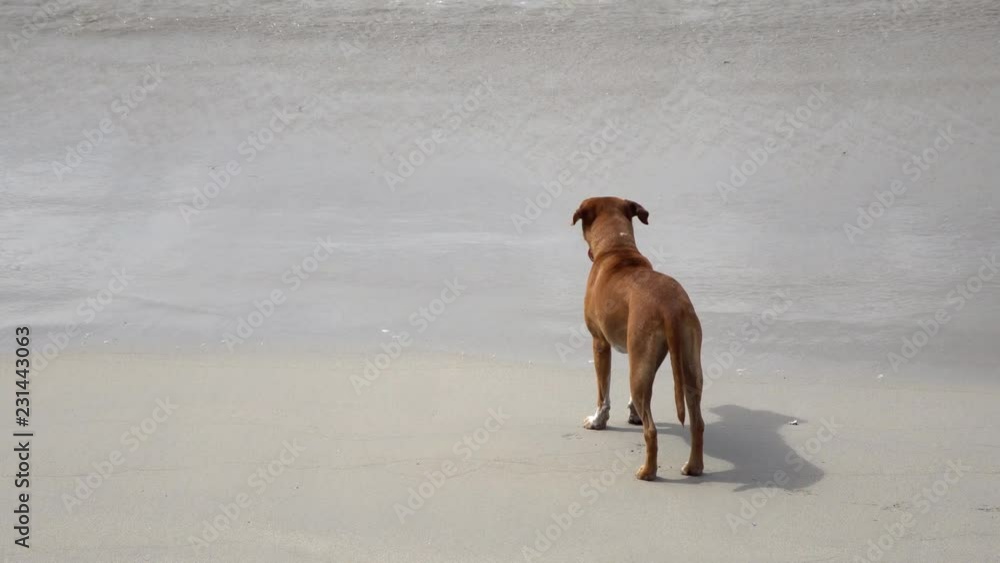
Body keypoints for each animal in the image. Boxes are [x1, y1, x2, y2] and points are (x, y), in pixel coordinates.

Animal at [572, 196, 705, 481]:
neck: (616, 248)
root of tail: (670, 305)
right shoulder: (648, 356)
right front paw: (633, 414)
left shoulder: (600, 343)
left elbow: (603, 392)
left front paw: (598, 421)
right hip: (686, 364)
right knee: (697, 422)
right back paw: (694, 467)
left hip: (640, 366)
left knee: (651, 431)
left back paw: (647, 472)